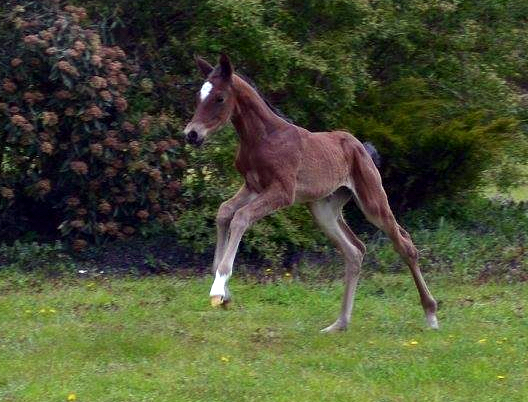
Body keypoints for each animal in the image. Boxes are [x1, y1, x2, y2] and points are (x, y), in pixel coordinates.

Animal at [184, 53, 440, 332]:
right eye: (198, 96)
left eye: (220, 98)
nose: (191, 134)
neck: (262, 138)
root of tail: (361, 147)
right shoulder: (252, 186)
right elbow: (224, 211)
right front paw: (224, 291)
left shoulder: (282, 192)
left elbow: (241, 217)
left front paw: (219, 289)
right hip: (323, 209)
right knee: (355, 251)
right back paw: (339, 324)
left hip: (372, 200)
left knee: (404, 244)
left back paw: (431, 314)